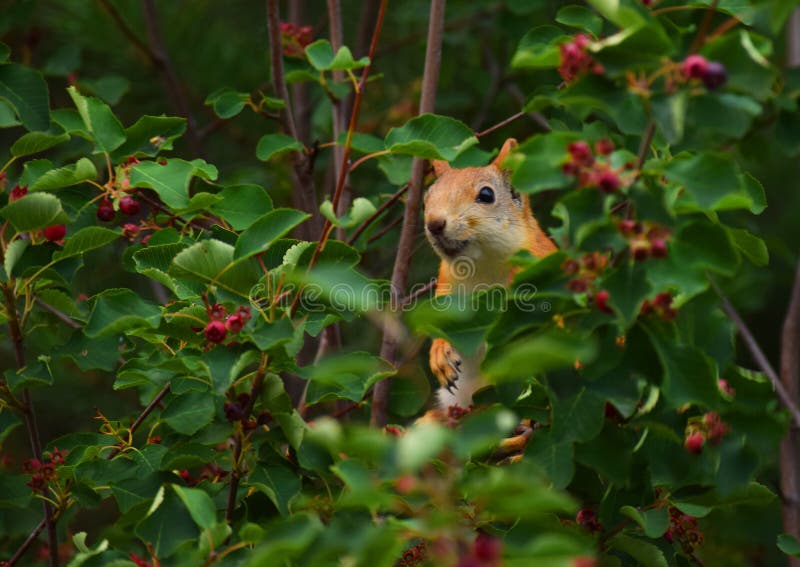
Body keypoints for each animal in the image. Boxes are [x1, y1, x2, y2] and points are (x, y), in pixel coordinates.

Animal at [423, 138, 557, 414]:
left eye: (486, 195)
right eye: (426, 197)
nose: (434, 223)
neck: (481, 266)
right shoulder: (446, 289)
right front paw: (439, 353)